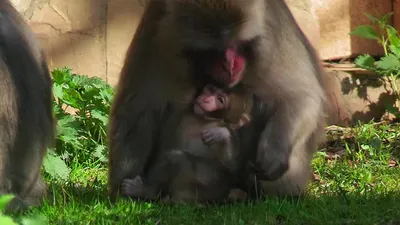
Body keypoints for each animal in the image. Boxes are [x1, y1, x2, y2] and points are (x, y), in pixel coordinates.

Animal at [119, 85, 253, 204]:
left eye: (220, 100)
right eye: (211, 90)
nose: (206, 99)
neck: (203, 120)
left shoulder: (233, 131)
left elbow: (232, 167)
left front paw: (221, 133)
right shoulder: (182, 113)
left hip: (206, 188)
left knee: (177, 158)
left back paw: (148, 191)